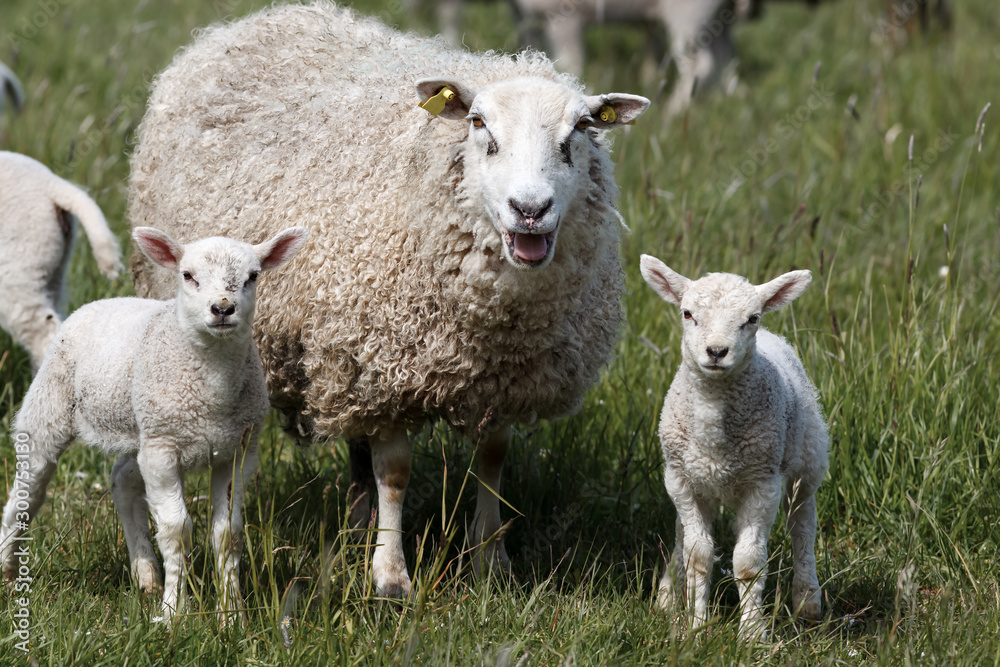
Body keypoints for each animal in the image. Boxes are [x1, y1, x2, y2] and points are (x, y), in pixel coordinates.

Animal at [0, 225, 308, 622]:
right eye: (188, 275)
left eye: (253, 276)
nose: (223, 309)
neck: (212, 392)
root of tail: (104, 301)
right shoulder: (163, 451)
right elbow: (177, 530)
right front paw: (174, 613)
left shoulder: (237, 452)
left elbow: (229, 534)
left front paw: (231, 615)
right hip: (50, 409)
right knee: (30, 491)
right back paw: (8, 569)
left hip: (142, 429)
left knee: (123, 481)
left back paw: (145, 574)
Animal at [128, 1, 650, 598]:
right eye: (479, 125)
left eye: (580, 130)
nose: (530, 209)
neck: (497, 318)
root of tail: (258, 20)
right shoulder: (387, 366)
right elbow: (395, 472)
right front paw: (392, 577)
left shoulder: (501, 376)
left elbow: (492, 459)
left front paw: (490, 563)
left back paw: (360, 524)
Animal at [639, 254, 828, 640]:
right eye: (687, 313)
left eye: (751, 318)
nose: (716, 351)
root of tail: (774, 337)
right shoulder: (681, 481)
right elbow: (698, 557)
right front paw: (695, 628)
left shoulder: (762, 483)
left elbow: (748, 563)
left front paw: (752, 635)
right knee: (681, 534)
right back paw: (668, 593)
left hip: (807, 460)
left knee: (803, 525)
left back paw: (807, 600)